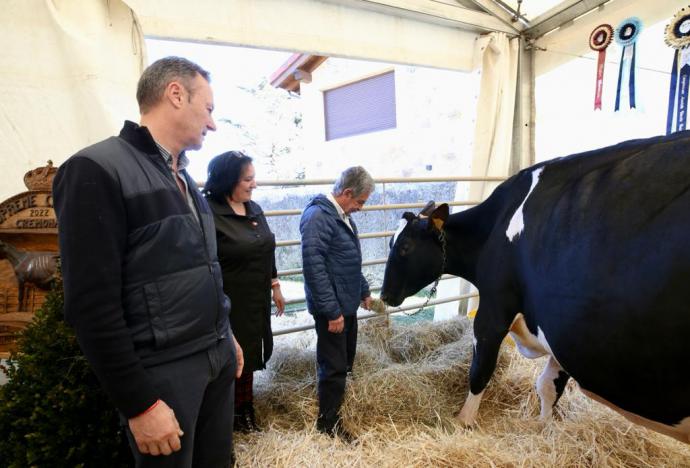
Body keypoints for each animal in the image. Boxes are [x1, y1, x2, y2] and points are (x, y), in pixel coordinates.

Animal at [378, 131, 688, 442]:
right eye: (391, 242)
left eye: (404, 247)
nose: (384, 294)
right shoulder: (560, 332)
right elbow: (548, 385)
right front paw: (543, 426)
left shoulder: (494, 309)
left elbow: (480, 371)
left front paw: (461, 423)